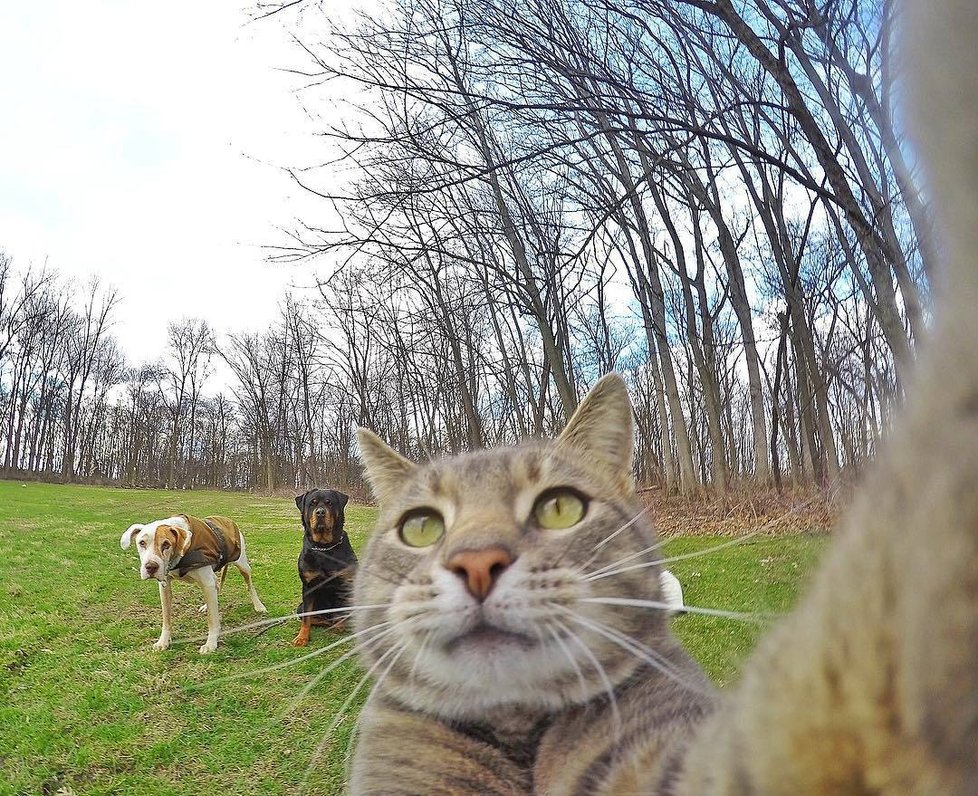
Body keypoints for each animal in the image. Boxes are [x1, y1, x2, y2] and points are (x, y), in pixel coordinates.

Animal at [121, 516, 266, 652]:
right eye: (142, 543)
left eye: (166, 544)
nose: (150, 567)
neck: (180, 555)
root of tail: (227, 519)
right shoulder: (165, 586)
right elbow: (166, 618)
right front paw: (163, 641)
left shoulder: (207, 582)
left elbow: (212, 619)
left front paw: (210, 644)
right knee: (217, 587)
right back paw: (206, 606)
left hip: (242, 565)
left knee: (250, 585)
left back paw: (259, 606)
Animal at [292, 486, 356, 648]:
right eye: (312, 503)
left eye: (329, 503)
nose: (320, 512)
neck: (324, 548)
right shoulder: (308, 587)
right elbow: (307, 618)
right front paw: (302, 637)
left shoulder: (344, 584)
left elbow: (341, 611)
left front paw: (339, 626)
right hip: (300, 607)